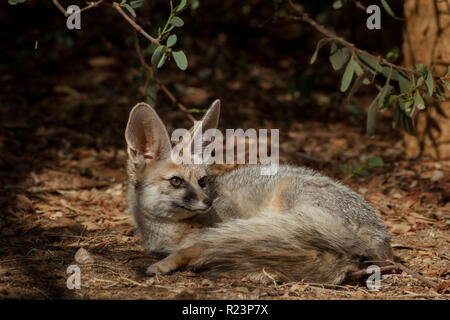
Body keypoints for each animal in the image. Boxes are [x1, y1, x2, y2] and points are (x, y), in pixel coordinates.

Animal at [124, 99, 394, 284]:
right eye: (176, 182)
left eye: (202, 181)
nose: (209, 202)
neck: (166, 231)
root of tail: (380, 233)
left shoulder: (217, 231)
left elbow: (190, 249)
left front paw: (167, 263)